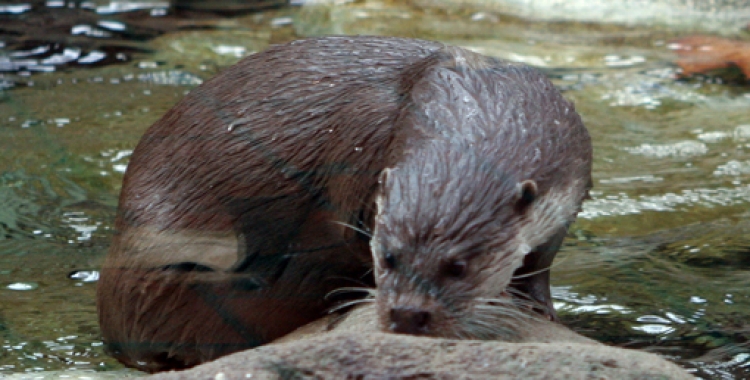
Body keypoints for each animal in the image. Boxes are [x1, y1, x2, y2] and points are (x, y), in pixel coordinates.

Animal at [98, 34, 592, 372]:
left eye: (458, 267)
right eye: (388, 257)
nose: (407, 316)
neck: (478, 96)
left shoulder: (569, 192)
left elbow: (541, 261)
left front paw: (539, 306)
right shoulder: (356, 172)